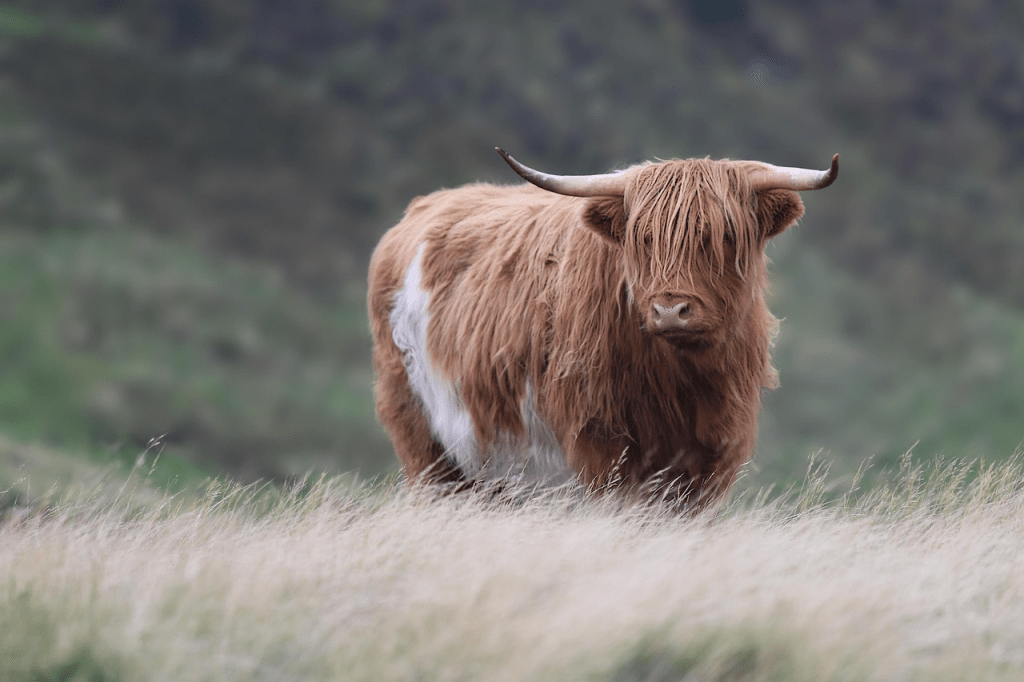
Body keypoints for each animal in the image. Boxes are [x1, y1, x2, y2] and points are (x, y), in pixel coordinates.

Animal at [367, 148, 838, 508]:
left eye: (722, 235)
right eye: (643, 238)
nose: (671, 310)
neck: (679, 383)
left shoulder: (713, 454)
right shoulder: (600, 448)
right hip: (425, 439)